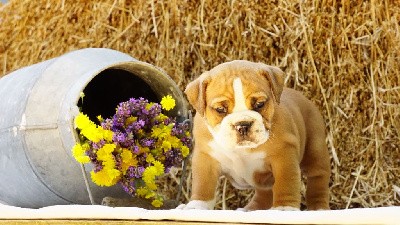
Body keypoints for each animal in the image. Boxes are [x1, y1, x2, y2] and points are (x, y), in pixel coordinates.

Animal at [180, 60, 330, 211]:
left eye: (260, 104)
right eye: (220, 109)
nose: (242, 125)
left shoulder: (284, 156)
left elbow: (286, 182)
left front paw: (284, 207)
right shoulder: (206, 159)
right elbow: (203, 185)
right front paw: (196, 206)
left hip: (315, 150)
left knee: (318, 179)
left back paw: (319, 208)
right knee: (265, 194)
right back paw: (249, 209)